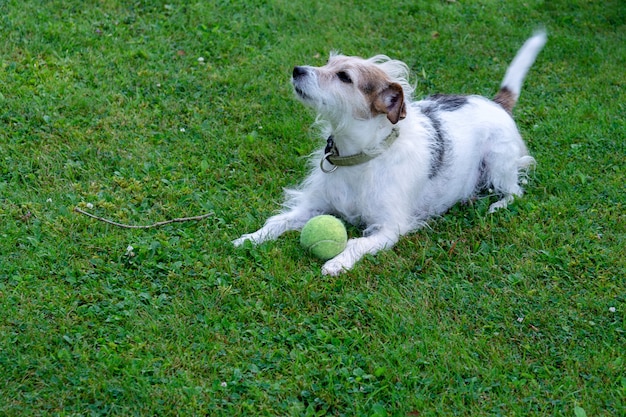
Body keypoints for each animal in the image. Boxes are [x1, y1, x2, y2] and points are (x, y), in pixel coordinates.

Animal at [232, 30, 544, 274]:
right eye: (328, 62)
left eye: (344, 77)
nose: (297, 69)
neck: (358, 157)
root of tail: (495, 103)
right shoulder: (313, 206)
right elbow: (278, 221)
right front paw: (250, 238)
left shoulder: (389, 227)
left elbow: (356, 243)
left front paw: (337, 262)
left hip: (498, 164)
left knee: (515, 190)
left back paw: (496, 205)